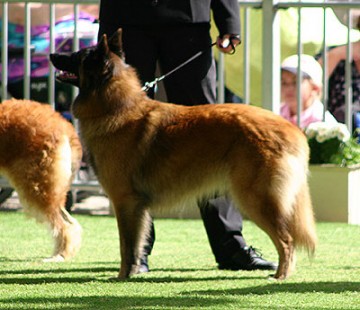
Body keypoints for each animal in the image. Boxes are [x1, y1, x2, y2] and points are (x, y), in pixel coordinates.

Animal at [50, 29, 316, 280]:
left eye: (78, 55)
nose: (52, 54)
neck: (116, 107)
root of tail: (293, 129)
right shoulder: (137, 207)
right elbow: (138, 242)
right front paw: (135, 271)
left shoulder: (125, 202)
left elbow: (127, 246)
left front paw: (123, 275)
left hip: (254, 199)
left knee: (287, 240)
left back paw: (280, 275)